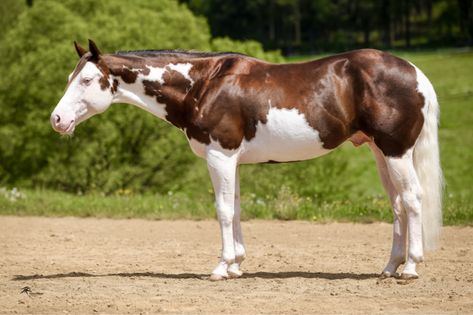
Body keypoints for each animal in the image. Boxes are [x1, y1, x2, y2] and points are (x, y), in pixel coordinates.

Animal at [49, 40, 440, 282]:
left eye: (87, 80)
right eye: (69, 78)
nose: (56, 120)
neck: (202, 84)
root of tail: (415, 72)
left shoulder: (219, 156)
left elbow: (222, 210)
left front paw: (221, 267)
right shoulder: (231, 160)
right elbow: (235, 208)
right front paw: (236, 265)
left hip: (395, 152)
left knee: (412, 200)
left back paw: (410, 268)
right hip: (379, 152)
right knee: (396, 205)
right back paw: (389, 267)